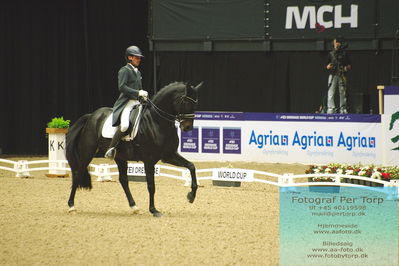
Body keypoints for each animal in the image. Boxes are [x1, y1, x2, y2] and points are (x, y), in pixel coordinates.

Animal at [67, 81, 203, 216]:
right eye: (187, 102)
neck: (157, 122)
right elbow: (151, 186)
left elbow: (191, 166)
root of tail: (92, 115)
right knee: (78, 173)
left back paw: (134, 206)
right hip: (88, 152)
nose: (188, 128)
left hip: (120, 157)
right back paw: (71, 205)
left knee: (123, 180)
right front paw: (153, 210)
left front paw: (191, 196)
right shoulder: (149, 160)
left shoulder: (168, 155)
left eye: (196, 103)